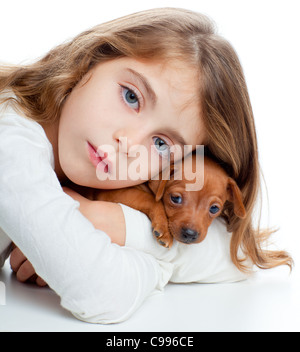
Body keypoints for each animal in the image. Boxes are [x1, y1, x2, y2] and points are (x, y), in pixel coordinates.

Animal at [90, 153, 245, 249]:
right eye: (175, 198)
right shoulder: (110, 192)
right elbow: (149, 198)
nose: (190, 234)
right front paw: (164, 228)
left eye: (214, 208)